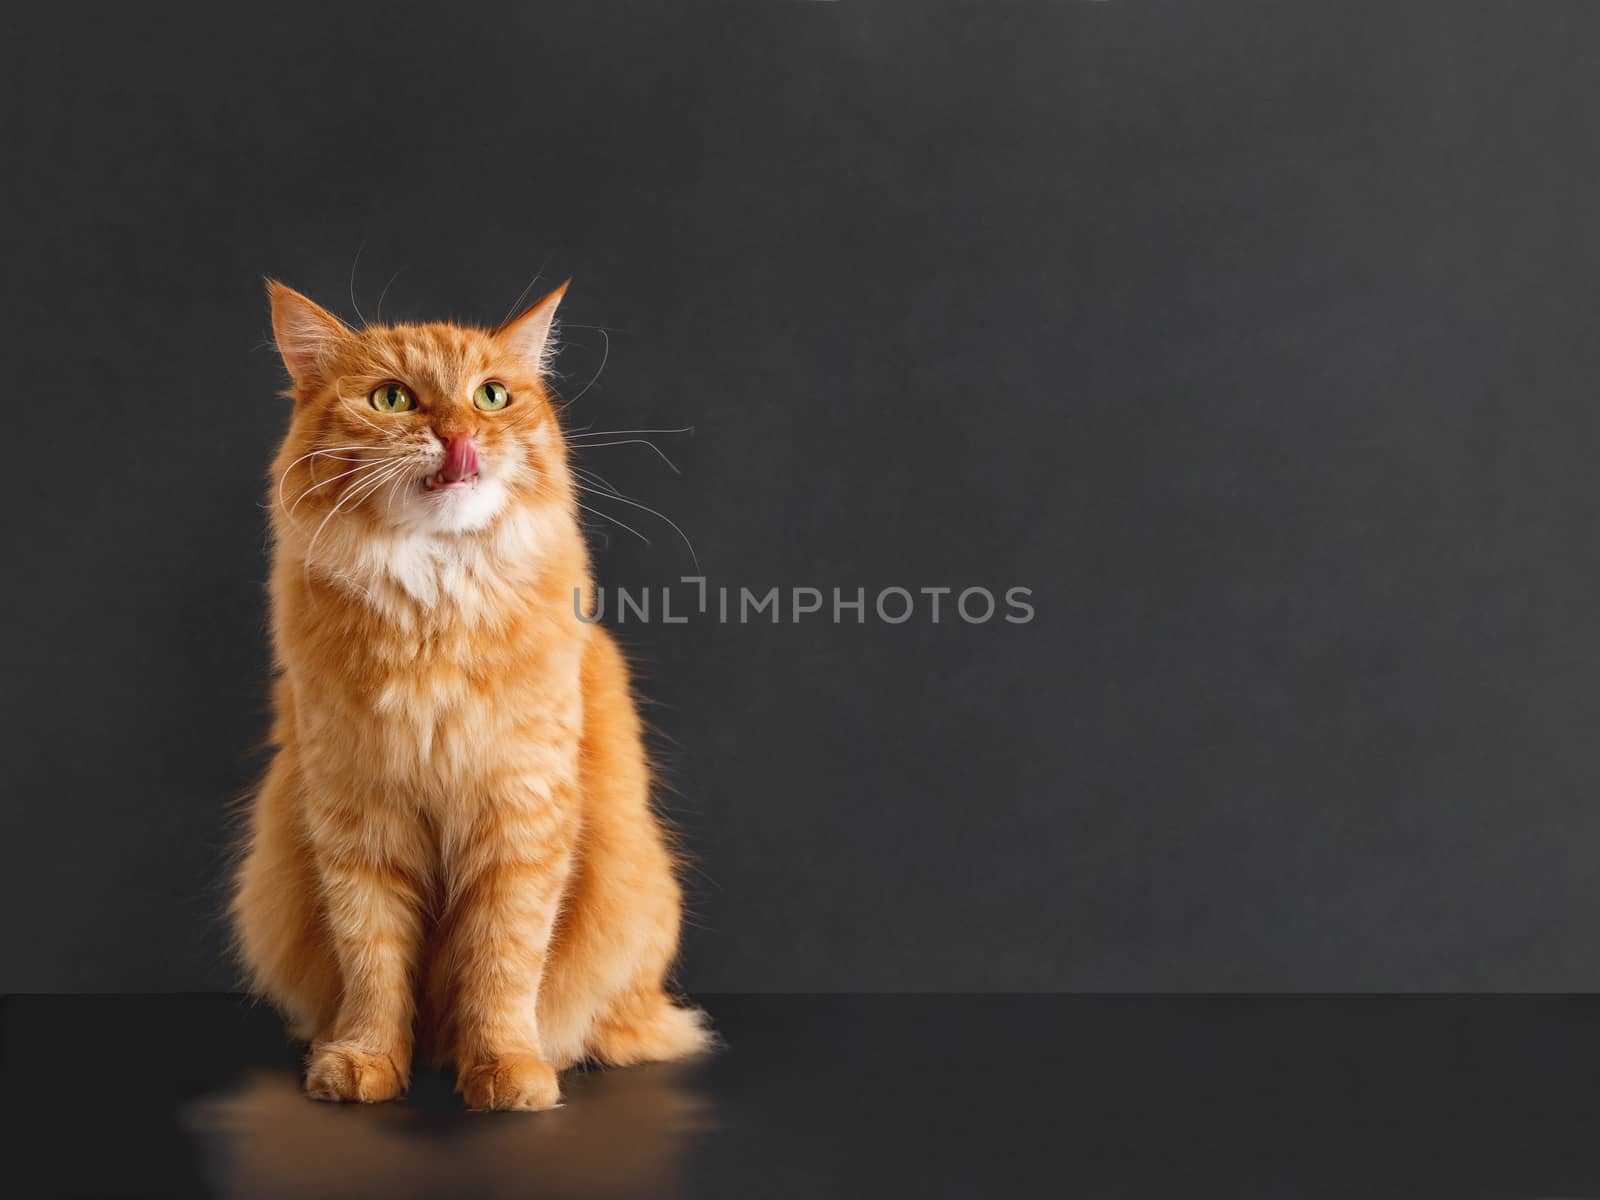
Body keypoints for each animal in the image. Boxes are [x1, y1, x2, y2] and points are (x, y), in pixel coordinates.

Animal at [228, 280, 710, 1107]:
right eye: (392, 399)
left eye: (491, 397)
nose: (459, 436)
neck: (433, 603)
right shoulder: (360, 825)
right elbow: (373, 965)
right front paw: (365, 1062)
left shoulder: (520, 820)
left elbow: (503, 966)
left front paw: (505, 1070)